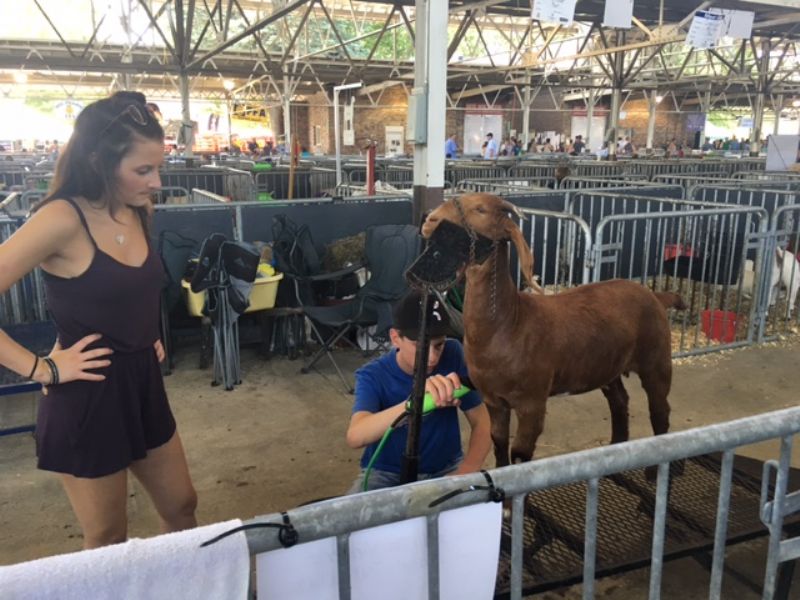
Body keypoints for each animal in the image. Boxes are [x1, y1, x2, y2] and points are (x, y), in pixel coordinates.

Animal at [418, 195, 680, 466]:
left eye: (480, 209)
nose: (429, 221)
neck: (509, 323)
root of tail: (655, 295)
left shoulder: (532, 402)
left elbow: (520, 453)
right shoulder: (493, 400)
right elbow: (499, 443)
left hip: (656, 359)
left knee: (660, 410)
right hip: (608, 366)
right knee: (619, 401)